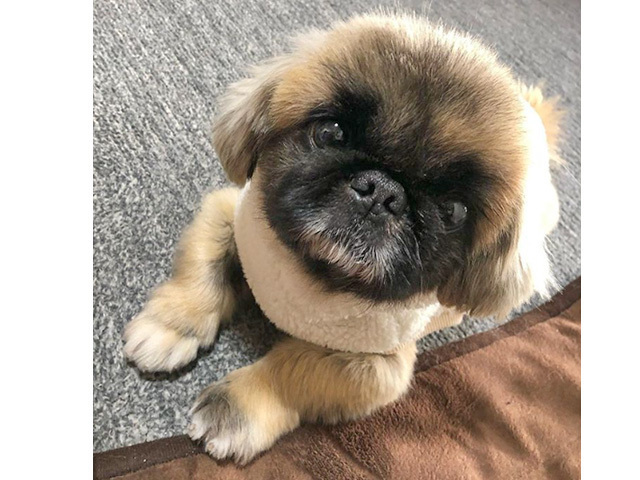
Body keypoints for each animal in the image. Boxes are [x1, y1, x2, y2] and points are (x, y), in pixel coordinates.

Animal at [123, 13, 562, 463]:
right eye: (331, 133)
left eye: (454, 211)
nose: (383, 191)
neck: (312, 271)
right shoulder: (229, 210)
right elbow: (202, 266)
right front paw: (170, 327)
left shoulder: (377, 367)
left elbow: (293, 367)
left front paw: (233, 409)